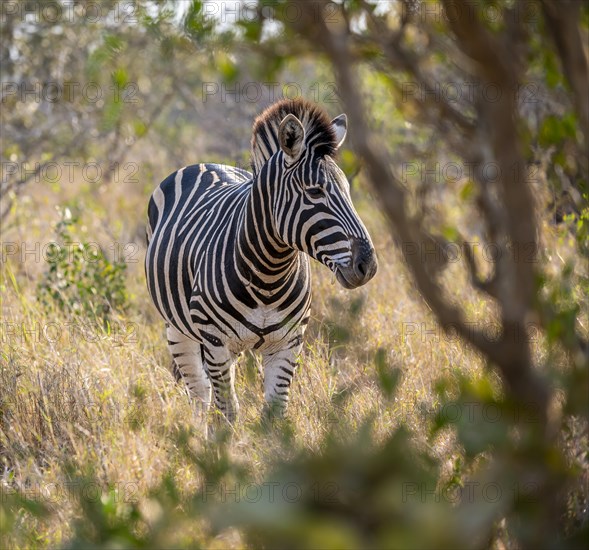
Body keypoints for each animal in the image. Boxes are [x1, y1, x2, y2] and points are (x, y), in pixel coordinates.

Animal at [145, 98, 378, 422]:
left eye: (348, 190)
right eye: (315, 191)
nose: (367, 265)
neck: (270, 274)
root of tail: (203, 164)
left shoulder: (288, 344)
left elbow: (275, 413)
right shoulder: (216, 342)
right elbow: (228, 412)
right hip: (178, 330)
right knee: (200, 396)